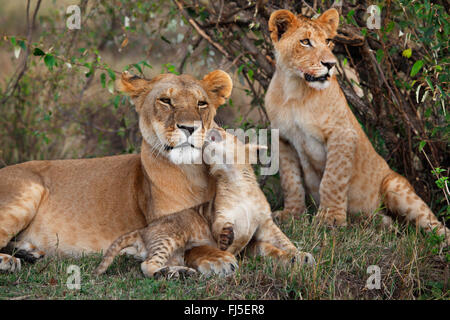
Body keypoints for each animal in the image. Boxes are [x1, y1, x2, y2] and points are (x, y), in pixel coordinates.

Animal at [266, 7, 448, 244]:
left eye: (328, 41)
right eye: (305, 42)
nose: (331, 64)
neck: (294, 89)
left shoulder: (342, 133)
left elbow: (332, 179)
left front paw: (330, 220)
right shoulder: (283, 139)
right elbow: (291, 181)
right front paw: (292, 214)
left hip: (395, 187)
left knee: (433, 224)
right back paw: (382, 224)